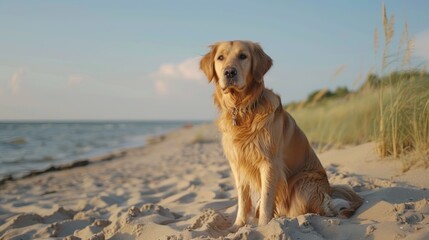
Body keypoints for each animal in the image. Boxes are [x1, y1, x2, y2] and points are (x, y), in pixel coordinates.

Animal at [198, 40, 362, 231]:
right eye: (220, 57)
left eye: (243, 56)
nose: (229, 72)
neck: (243, 109)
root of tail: (328, 189)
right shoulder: (237, 164)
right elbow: (243, 199)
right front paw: (237, 226)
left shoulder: (269, 162)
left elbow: (267, 199)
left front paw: (263, 227)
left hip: (301, 184)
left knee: (321, 208)